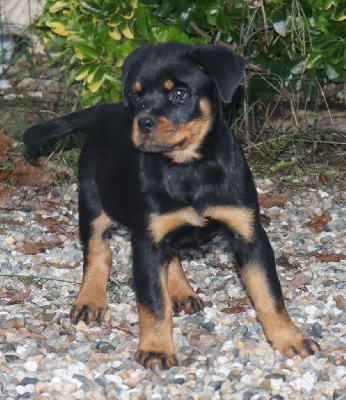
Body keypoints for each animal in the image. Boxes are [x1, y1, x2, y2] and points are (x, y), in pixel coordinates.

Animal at [23, 42, 318, 370]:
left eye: (179, 93)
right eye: (136, 96)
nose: (143, 122)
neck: (190, 168)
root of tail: (105, 111)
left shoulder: (249, 235)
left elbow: (269, 293)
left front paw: (289, 337)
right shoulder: (147, 243)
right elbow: (154, 303)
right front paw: (156, 348)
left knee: (170, 254)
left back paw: (181, 290)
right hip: (92, 204)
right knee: (98, 252)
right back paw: (90, 300)